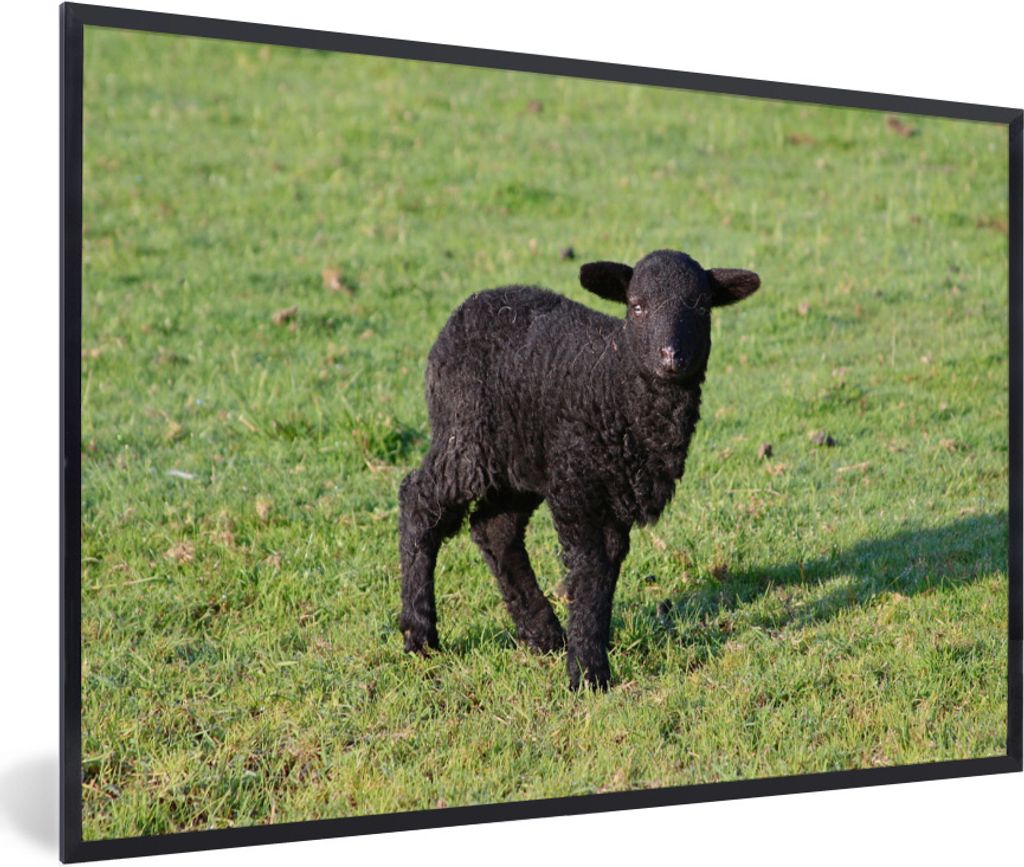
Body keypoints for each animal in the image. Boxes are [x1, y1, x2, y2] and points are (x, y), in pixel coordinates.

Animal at [398, 249, 760, 689]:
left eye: (703, 307)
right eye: (637, 306)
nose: (671, 357)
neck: (617, 385)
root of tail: (471, 304)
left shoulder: (613, 493)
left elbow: (605, 569)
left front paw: (588, 653)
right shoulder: (578, 485)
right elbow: (589, 568)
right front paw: (588, 672)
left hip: (523, 459)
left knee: (495, 529)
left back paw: (544, 634)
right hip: (465, 437)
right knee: (419, 501)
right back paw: (420, 632)